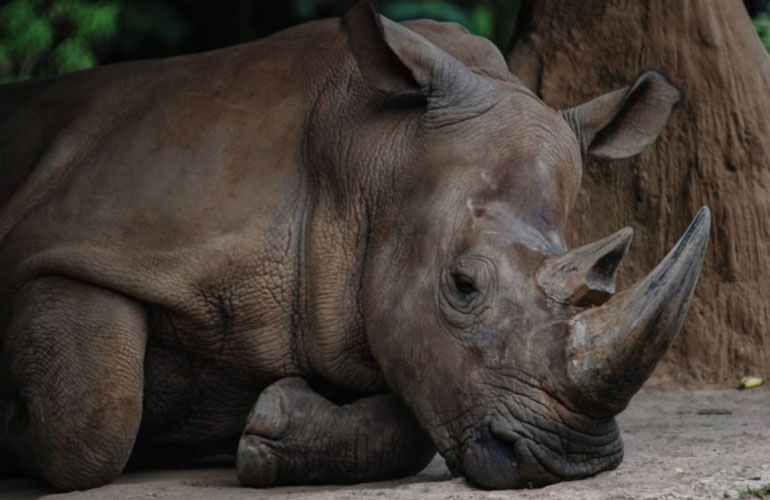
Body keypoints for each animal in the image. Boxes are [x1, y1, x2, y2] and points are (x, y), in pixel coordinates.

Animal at [0, 1, 709, 491]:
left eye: (605, 277)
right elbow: (94, 421)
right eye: (463, 285)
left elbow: (415, 414)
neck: (365, 158)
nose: (571, 459)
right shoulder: (79, 249)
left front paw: (269, 426)